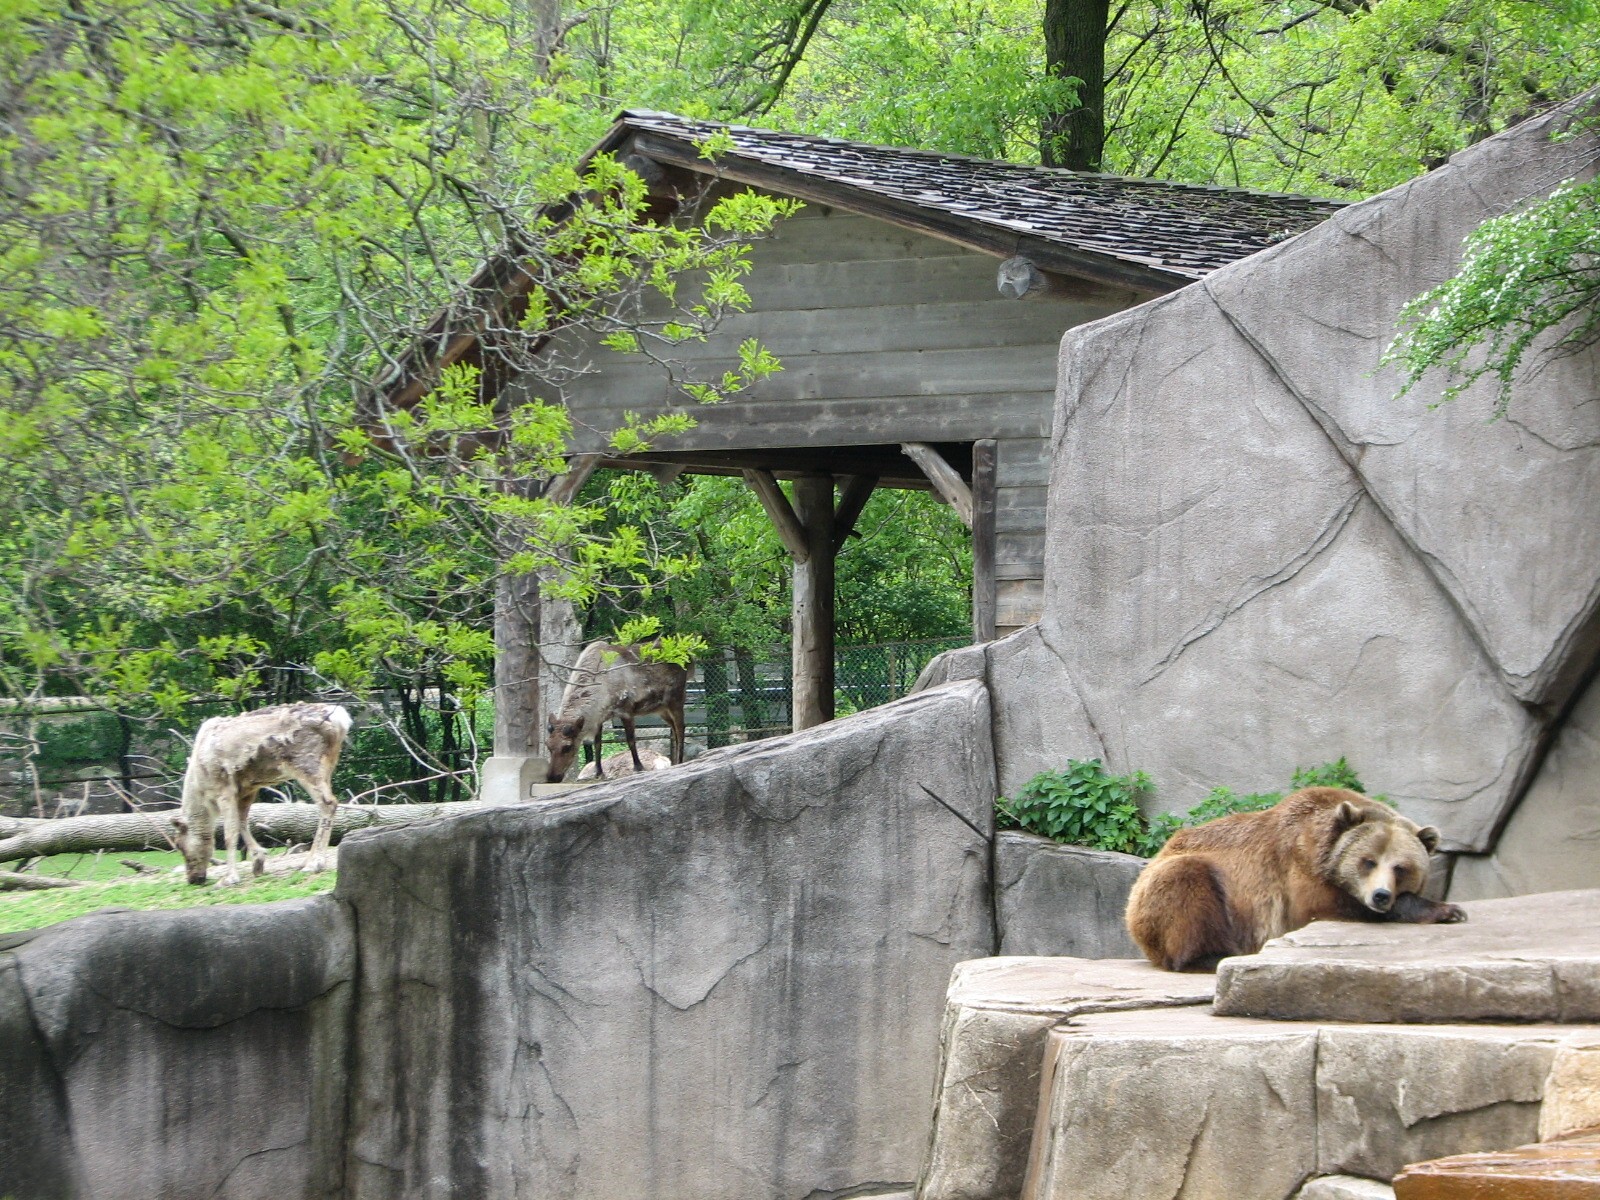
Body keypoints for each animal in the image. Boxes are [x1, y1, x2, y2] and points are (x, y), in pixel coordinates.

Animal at [1124, 787, 1466, 972]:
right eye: (1368, 861)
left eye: (1401, 867)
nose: (1380, 896)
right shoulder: (1297, 866)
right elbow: (1320, 906)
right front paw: (1447, 910)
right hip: (1175, 886)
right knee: (1187, 885)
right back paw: (1217, 955)